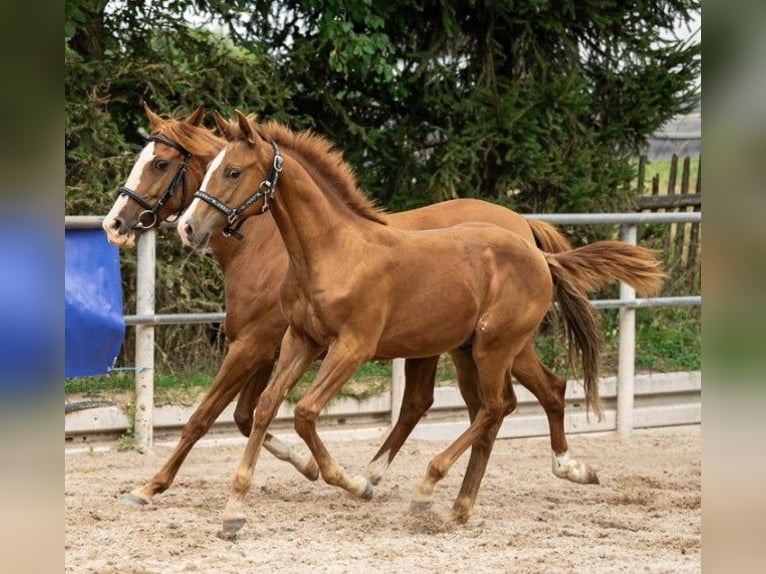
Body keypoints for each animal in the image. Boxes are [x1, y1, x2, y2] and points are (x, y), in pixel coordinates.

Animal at [103, 104, 592, 508]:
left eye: (161, 163)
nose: (114, 224)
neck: (270, 246)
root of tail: (525, 233)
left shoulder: (258, 344)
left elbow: (207, 418)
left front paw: (150, 486)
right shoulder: (281, 344)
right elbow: (252, 413)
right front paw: (306, 467)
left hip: (492, 346)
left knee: (515, 399)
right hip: (456, 347)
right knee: (468, 403)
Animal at [177, 110, 665, 537]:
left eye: (233, 171)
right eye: (209, 169)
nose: (188, 227)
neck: (331, 251)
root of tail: (539, 255)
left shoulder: (352, 347)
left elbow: (304, 412)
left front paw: (356, 483)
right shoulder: (302, 340)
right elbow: (264, 408)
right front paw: (233, 512)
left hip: (493, 347)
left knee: (495, 407)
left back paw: (428, 487)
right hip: (474, 350)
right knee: (505, 405)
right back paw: (466, 504)